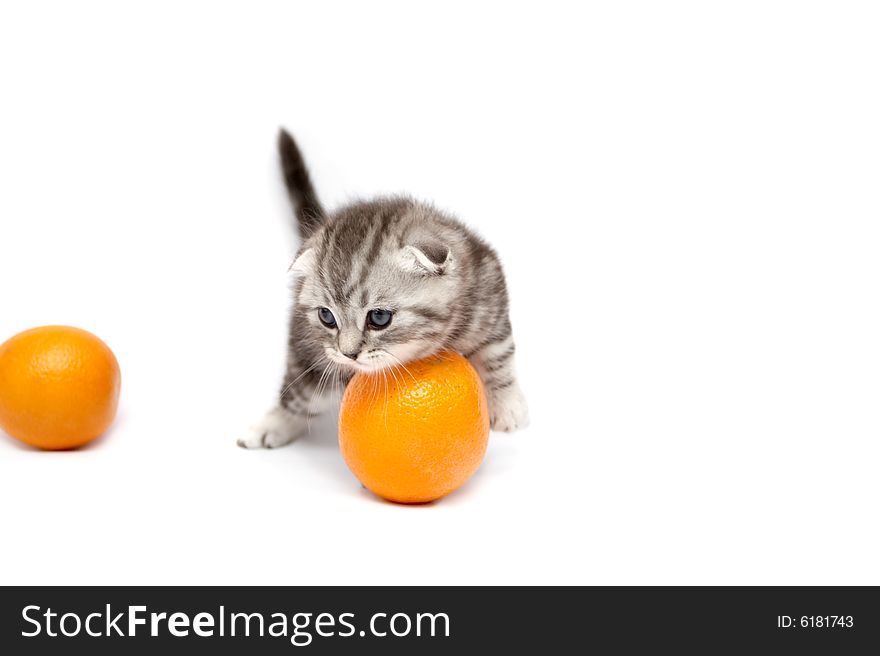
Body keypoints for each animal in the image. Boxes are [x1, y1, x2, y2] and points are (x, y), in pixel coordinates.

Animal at [239, 132, 528, 452]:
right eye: (327, 317)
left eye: (378, 318)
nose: (348, 354)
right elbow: (298, 393)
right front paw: (273, 423)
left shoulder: (489, 290)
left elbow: (498, 352)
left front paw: (506, 405)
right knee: (299, 394)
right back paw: (270, 425)